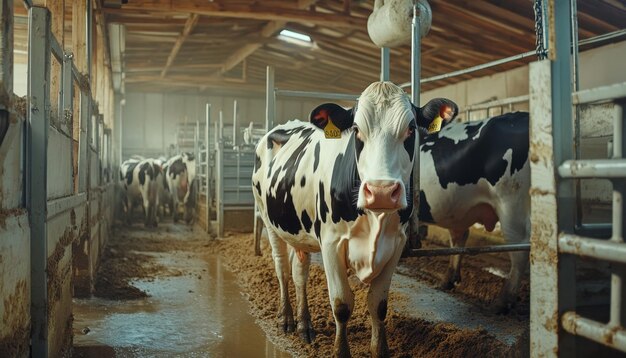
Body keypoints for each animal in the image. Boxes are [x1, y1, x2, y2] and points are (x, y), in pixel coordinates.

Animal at [252, 82, 454, 356]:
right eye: (356, 130)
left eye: (411, 128)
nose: (381, 191)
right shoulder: (330, 244)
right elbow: (341, 304)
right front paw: (341, 350)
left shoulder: (397, 244)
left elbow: (378, 304)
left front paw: (380, 349)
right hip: (269, 220)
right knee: (281, 268)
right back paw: (287, 319)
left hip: (299, 231)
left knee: (299, 273)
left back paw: (305, 325)